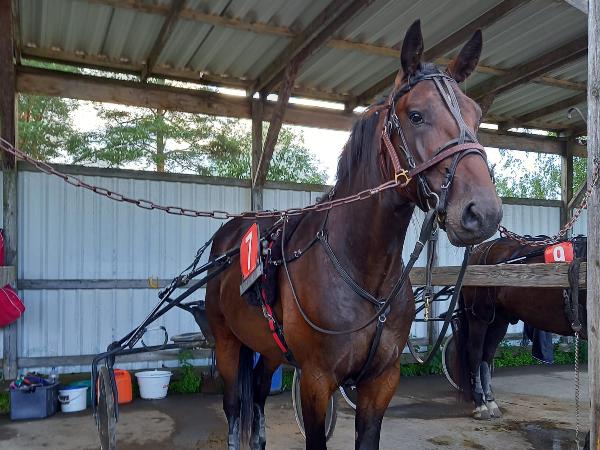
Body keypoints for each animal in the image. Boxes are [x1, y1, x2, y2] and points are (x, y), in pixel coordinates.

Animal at [204, 20, 503, 450]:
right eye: (416, 115)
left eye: (477, 116)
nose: (482, 212)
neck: (363, 272)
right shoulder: (315, 381)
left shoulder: (381, 381)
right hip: (227, 341)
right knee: (233, 407)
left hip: (268, 349)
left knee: (257, 396)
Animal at [453, 236, 587, 420]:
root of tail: (479, 250)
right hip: (479, 316)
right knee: (475, 353)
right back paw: (480, 405)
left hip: (498, 320)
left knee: (487, 355)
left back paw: (491, 402)